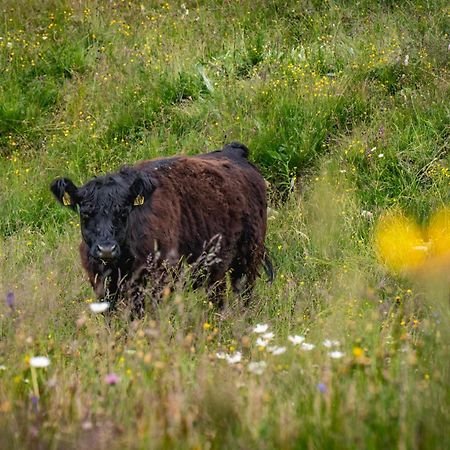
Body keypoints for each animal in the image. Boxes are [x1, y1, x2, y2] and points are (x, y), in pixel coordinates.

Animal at [51, 142, 272, 314]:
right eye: (85, 213)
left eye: (124, 212)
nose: (106, 249)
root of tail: (233, 152)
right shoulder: (102, 284)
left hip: (249, 257)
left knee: (243, 295)